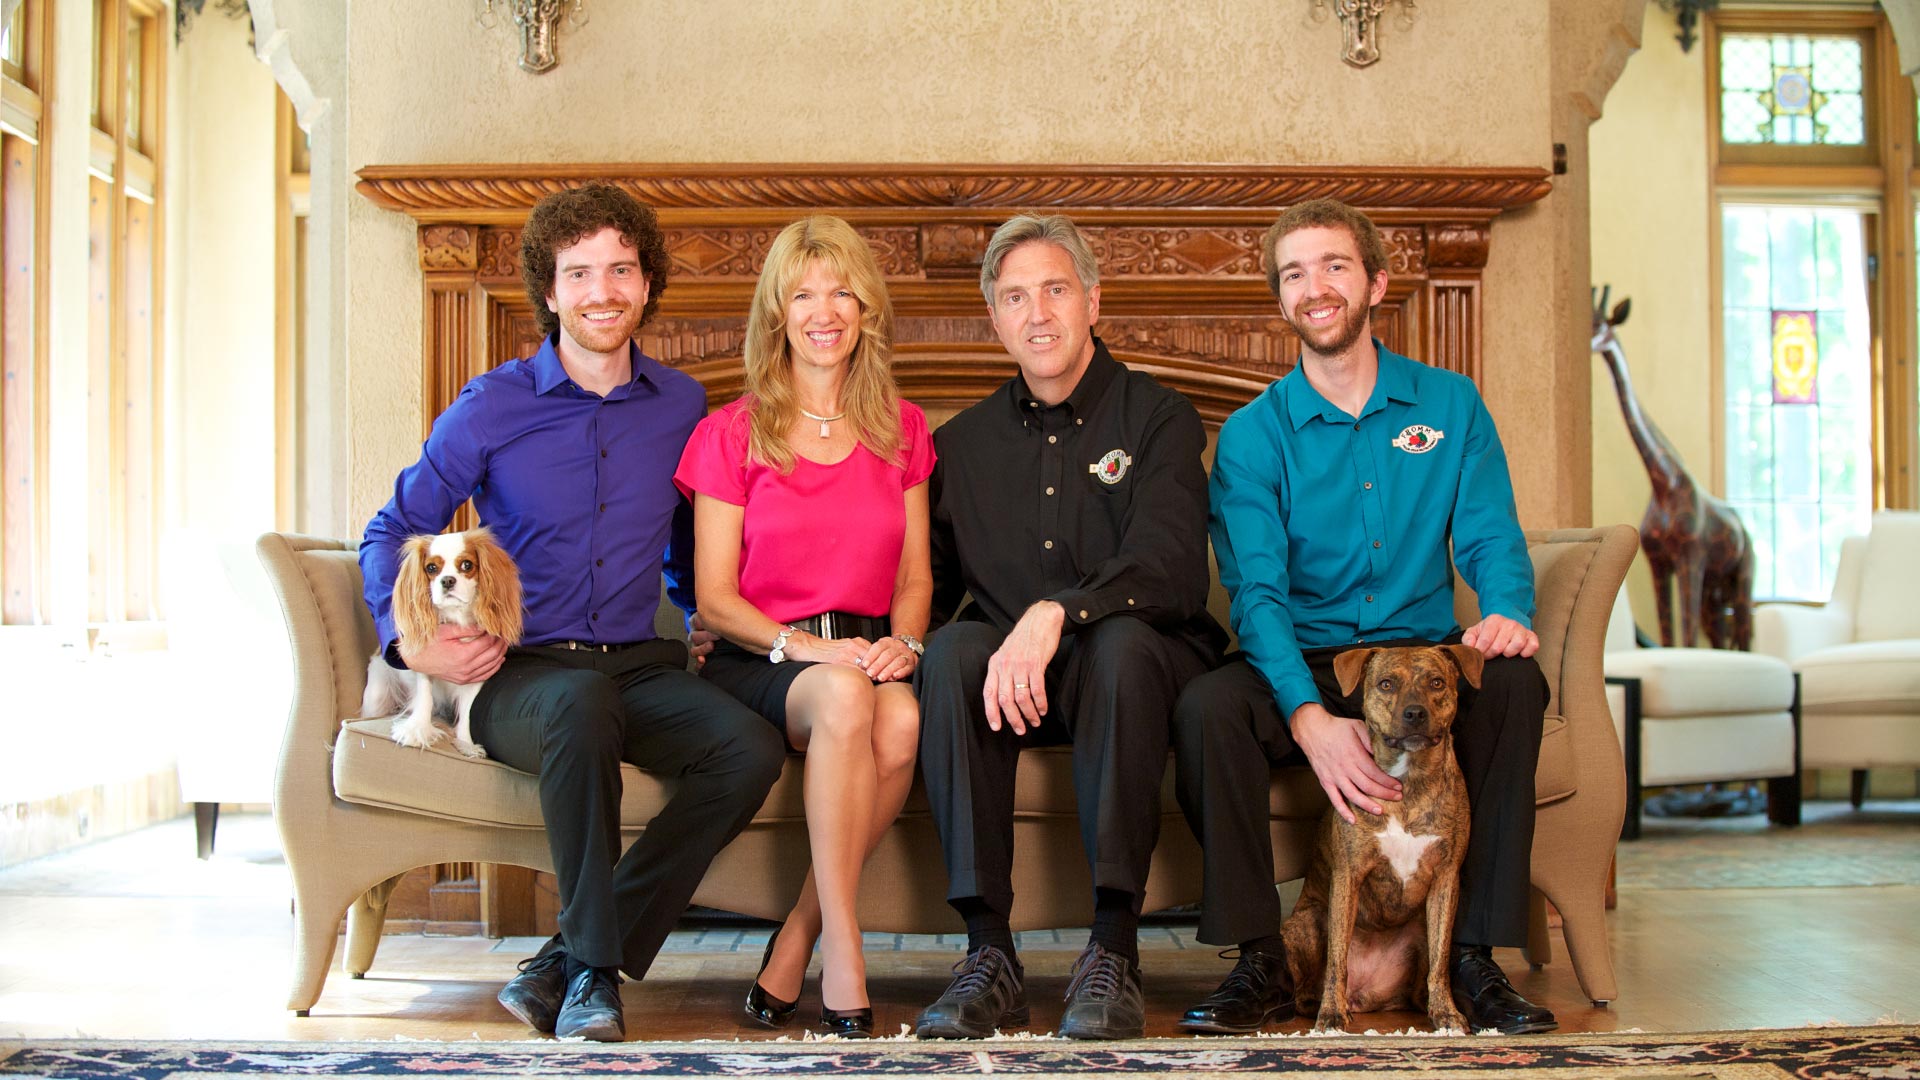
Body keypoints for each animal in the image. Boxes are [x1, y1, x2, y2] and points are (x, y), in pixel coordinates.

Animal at [1290, 641, 1482, 1030]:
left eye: (1437, 682)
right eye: (1386, 684)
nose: (1414, 713)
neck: (1409, 780)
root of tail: (1367, 994)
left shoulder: (1446, 879)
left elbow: (1440, 960)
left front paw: (1447, 1012)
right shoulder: (1348, 876)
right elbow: (1337, 959)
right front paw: (1331, 1014)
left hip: (1418, 930)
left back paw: (1428, 1004)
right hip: (1306, 921)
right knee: (1311, 984)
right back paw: (1322, 1003)